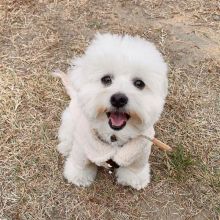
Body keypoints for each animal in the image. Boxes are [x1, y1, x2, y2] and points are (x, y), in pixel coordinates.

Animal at [54, 33, 168, 190]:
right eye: (106, 79)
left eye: (139, 83)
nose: (119, 99)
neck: (115, 135)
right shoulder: (83, 147)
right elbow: (80, 164)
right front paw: (79, 177)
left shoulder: (141, 151)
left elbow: (135, 168)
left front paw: (133, 178)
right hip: (72, 119)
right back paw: (65, 147)